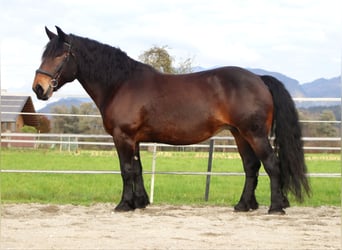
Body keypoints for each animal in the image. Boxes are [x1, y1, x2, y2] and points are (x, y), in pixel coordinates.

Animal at [32, 26, 310, 214]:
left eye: (61, 55)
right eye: (44, 54)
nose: (39, 88)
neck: (121, 84)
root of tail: (259, 79)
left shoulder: (123, 137)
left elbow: (126, 170)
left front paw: (124, 204)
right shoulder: (134, 139)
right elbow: (138, 169)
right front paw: (140, 203)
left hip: (254, 134)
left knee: (271, 164)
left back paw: (275, 207)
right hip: (239, 134)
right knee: (251, 167)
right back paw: (244, 205)